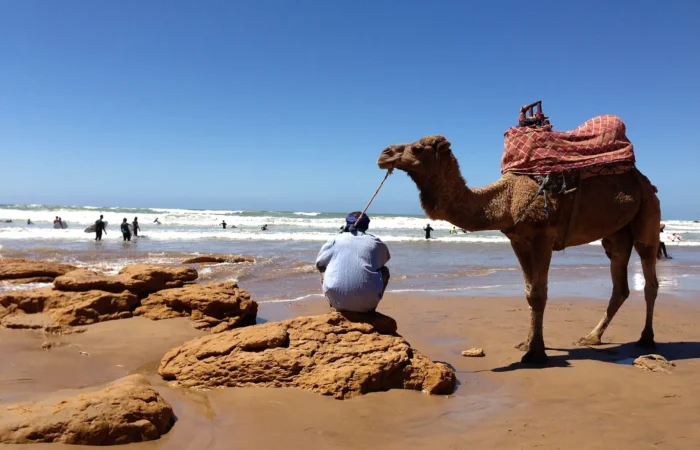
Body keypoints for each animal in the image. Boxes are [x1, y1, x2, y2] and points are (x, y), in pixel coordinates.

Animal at [377, 135, 661, 364]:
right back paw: (591, 338)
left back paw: (646, 338)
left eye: (417, 148)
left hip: (648, 212)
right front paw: (527, 343)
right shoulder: (518, 240)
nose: (384, 154)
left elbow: (538, 293)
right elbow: (528, 293)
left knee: (649, 276)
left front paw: (536, 354)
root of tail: (646, 181)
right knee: (619, 282)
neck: (507, 198)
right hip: (616, 234)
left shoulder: (542, 236)